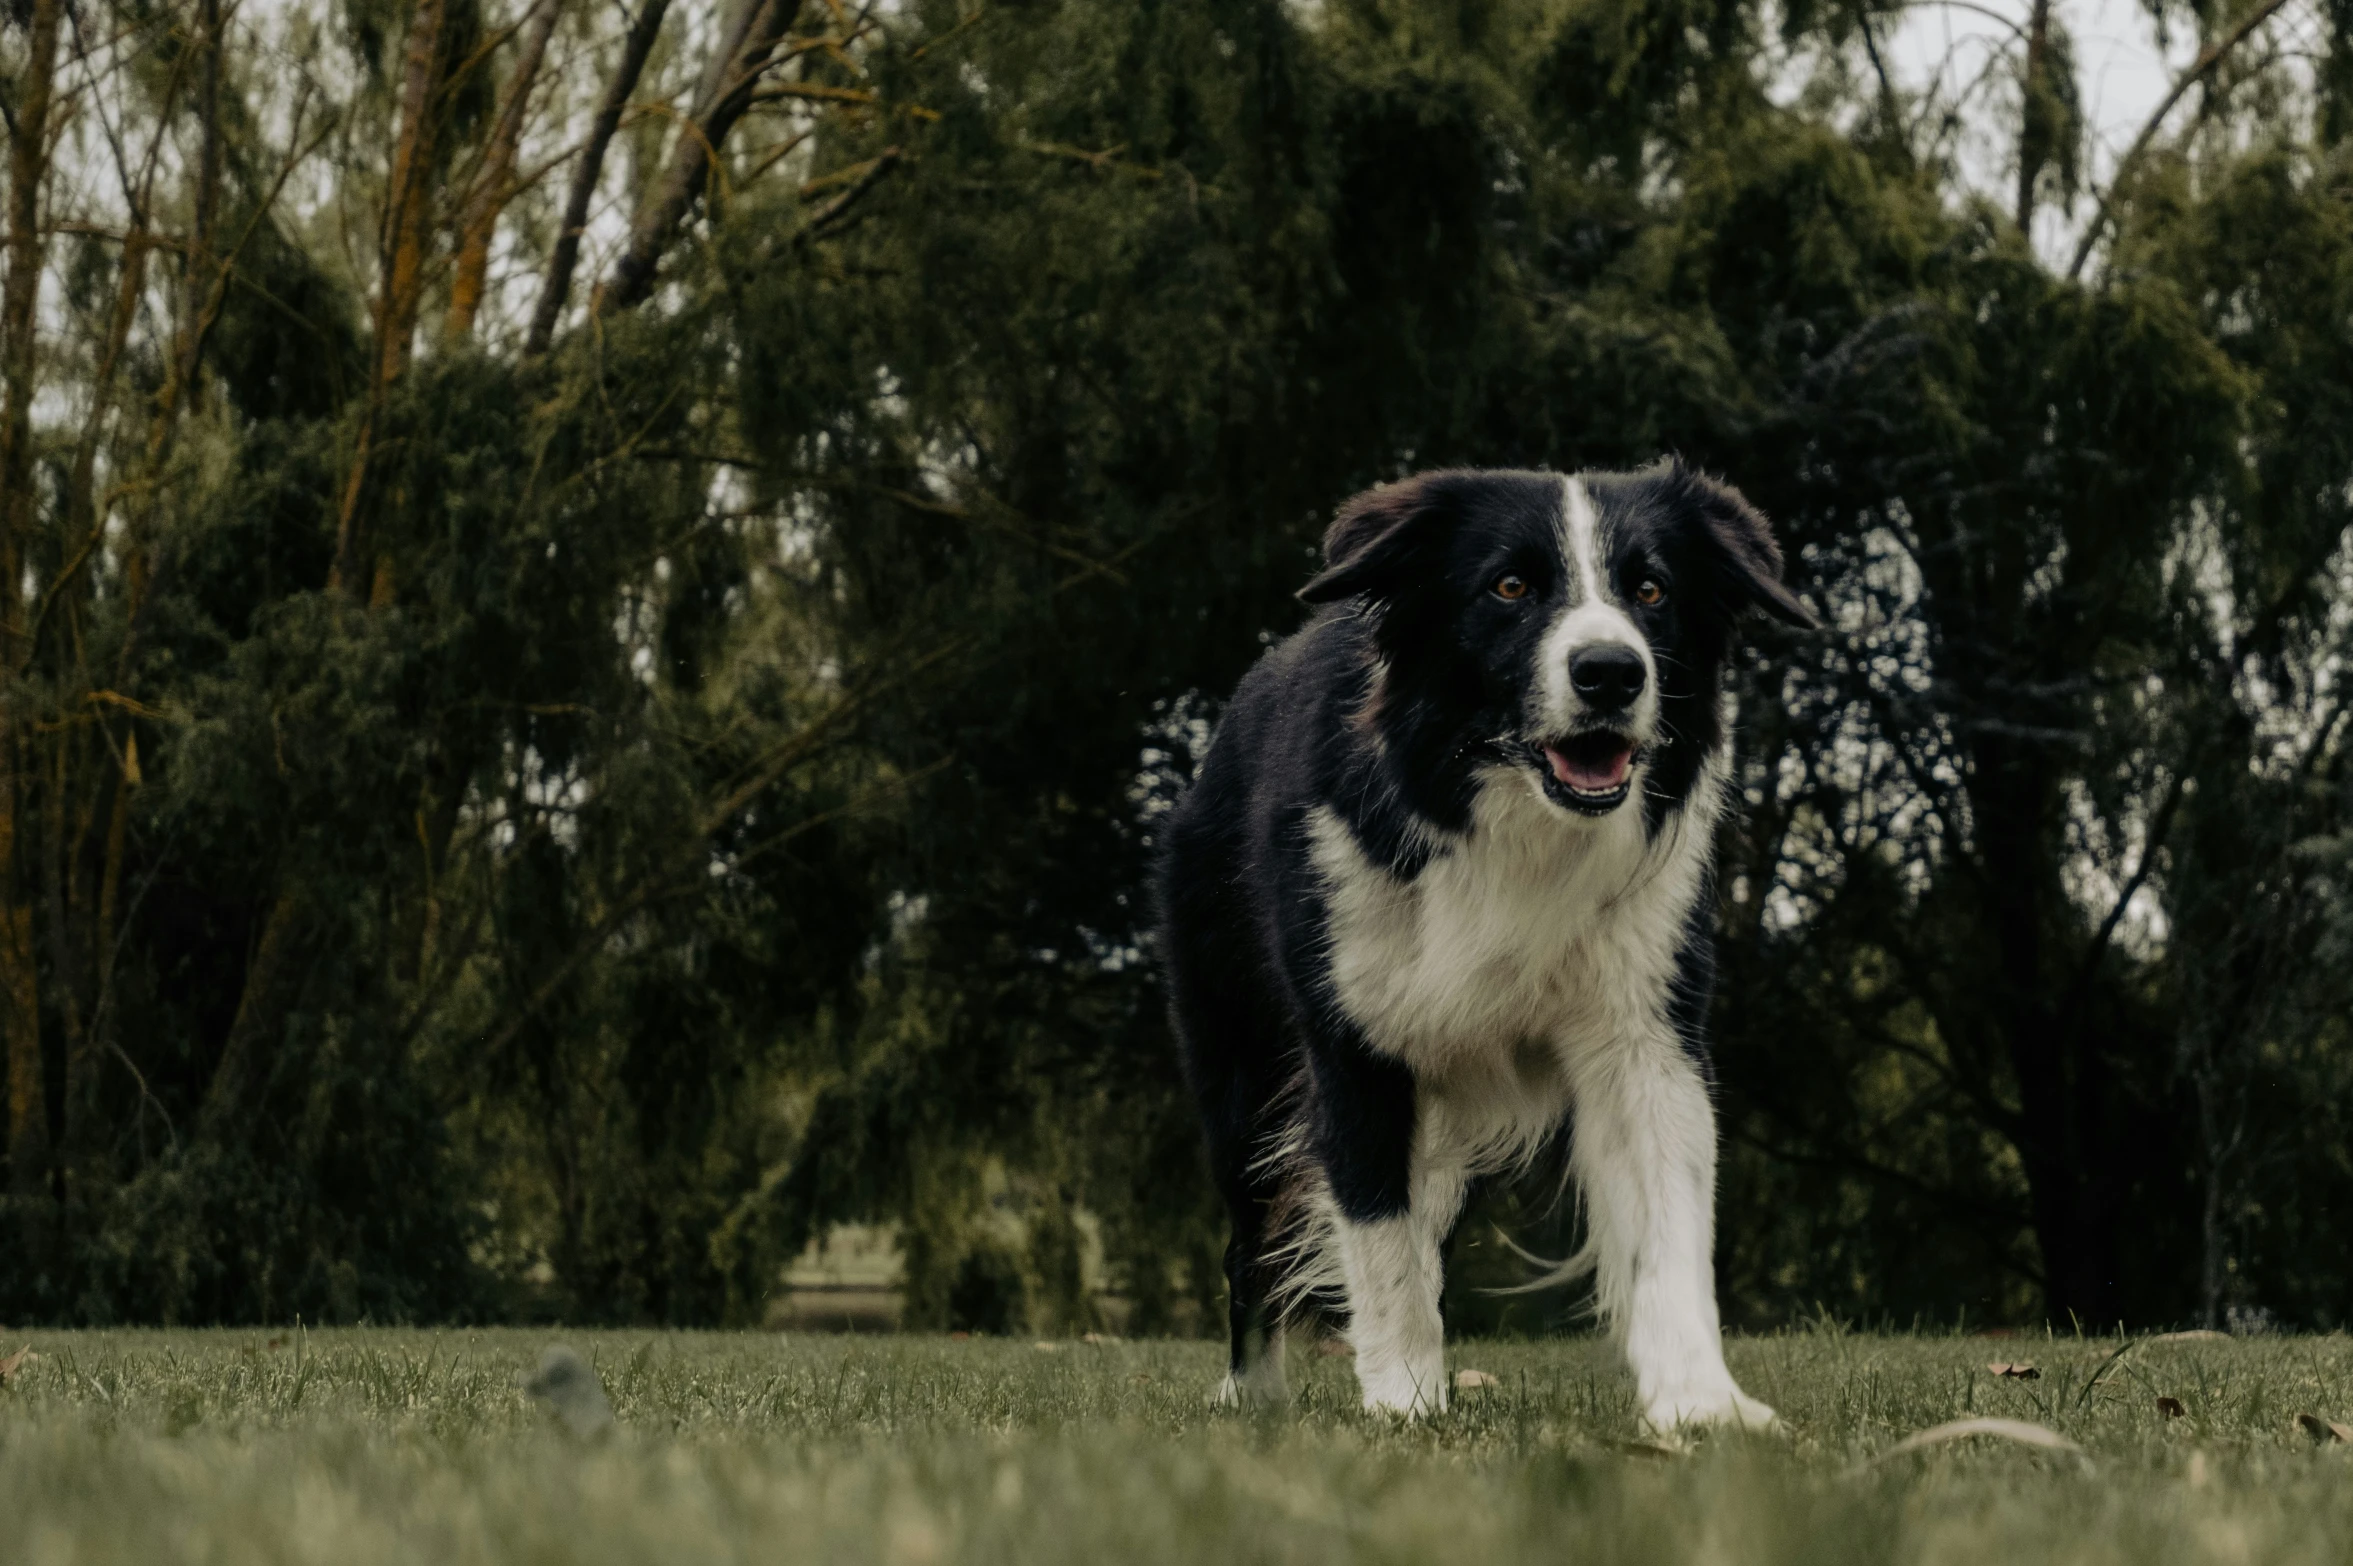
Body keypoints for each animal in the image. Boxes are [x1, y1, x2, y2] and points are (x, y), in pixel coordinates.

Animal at [1162, 458, 1816, 1420]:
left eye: (1650, 590)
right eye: (1509, 587)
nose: (1611, 672)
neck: (1512, 818)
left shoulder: (1643, 1023)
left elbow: (1668, 1217)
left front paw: (1702, 1403)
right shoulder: (1354, 1042)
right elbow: (1379, 1235)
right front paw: (1403, 1400)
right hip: (1236, 1059)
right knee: (1254, 1234)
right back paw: (1255, 1391)